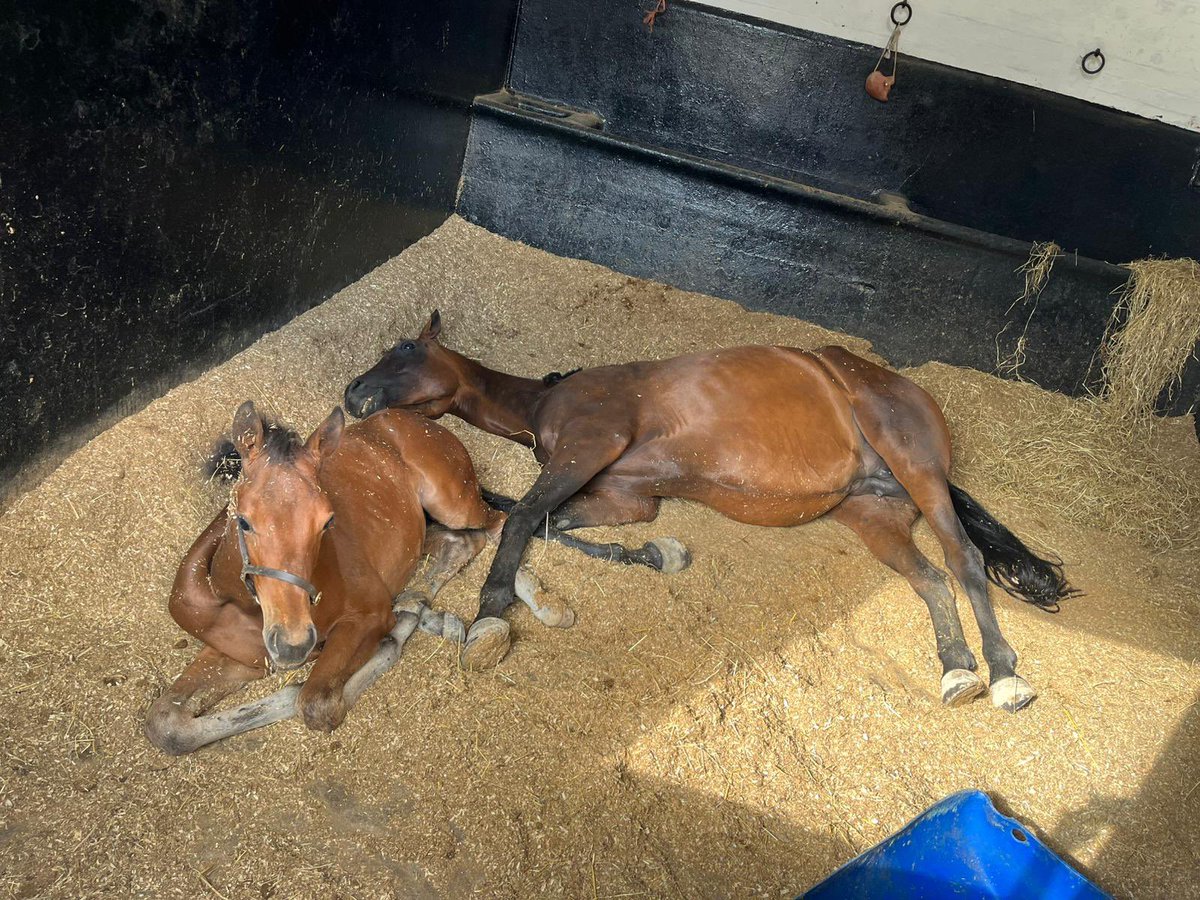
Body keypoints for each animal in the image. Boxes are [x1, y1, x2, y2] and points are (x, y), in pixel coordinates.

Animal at [144, 399, 577, 754]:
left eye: (327, 521)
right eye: (244, 521)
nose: (293, 644)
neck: (237, 604)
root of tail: (415, 418)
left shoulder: (367, 615)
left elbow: (316, 702)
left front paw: (392, 636)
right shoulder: (243, 656)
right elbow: (166, 724)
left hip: (451, 500)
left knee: (499, 524)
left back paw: (524, 612)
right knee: (459, 543)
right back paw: (431, 610)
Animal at [344, 311, 1076, 712]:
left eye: (404, 349)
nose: (353, 395)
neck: (547, 402)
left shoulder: (591, 445)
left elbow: (522, 517)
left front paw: (491, 616)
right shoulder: (627, 498)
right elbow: (539, 520)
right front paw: (645, 557)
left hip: (914, 465)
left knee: (965, 559)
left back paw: (1005, 675)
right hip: (873, 514)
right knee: (929, 579)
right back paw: (956, 669)